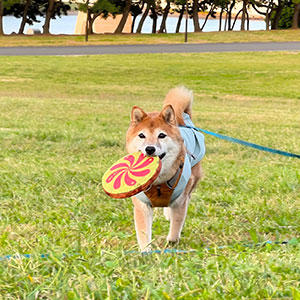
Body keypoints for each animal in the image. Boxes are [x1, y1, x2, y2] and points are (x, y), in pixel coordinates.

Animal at [125, 86, 205, 251]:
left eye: (161, 135)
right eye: (141, 135)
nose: (150, 149)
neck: (158, 182)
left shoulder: (180, 201)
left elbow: (176, 226)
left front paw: (171, 243)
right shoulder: (142, 205)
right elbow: (143, 232)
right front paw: (145, 251)